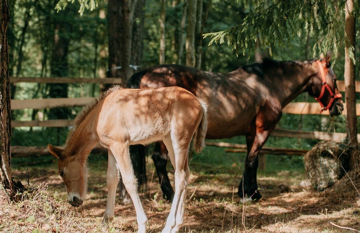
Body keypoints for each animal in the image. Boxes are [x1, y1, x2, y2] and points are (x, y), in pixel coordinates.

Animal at [47, 86, 208, 233]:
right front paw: (106, 221)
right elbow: (111, 179)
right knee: (185, 174)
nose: (73, 201)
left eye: (62, 172)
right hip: (169, 140)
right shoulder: (111, 148)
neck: (101, 114)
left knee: (180, 176)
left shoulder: (121, 145)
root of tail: (199, 103)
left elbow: (129, 181)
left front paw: (142, 225)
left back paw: (168, 226)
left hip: (179, 140)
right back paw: (177, 226)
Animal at [127, 53, 344, 202]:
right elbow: (252, 160)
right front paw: (249, 194)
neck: (268, 85)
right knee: (159, 159)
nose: (340, 106)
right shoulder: (263, 130)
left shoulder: (250, 133)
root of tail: (145, 73)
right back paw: (171, 195)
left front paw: (250, 191)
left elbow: (251, 160)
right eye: (334, 80)